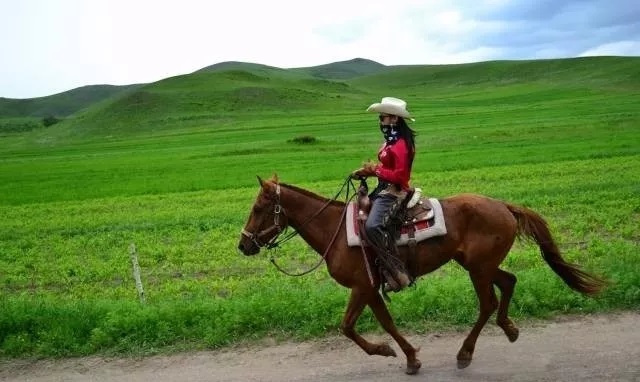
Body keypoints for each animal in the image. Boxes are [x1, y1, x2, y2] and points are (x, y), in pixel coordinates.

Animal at [236, 175, 604, 374]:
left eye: (258, 208)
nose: (243, 245)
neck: (335, 231)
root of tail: (504, 206)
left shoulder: (361, 287)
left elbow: (348, 326)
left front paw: (389, 352)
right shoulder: (370, 288)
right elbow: (383, 323)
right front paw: (407, 356)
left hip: (478, 269)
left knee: (487, 302)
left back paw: (465, 353)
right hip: (477, 264)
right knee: (509, 282)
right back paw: (510, 328)